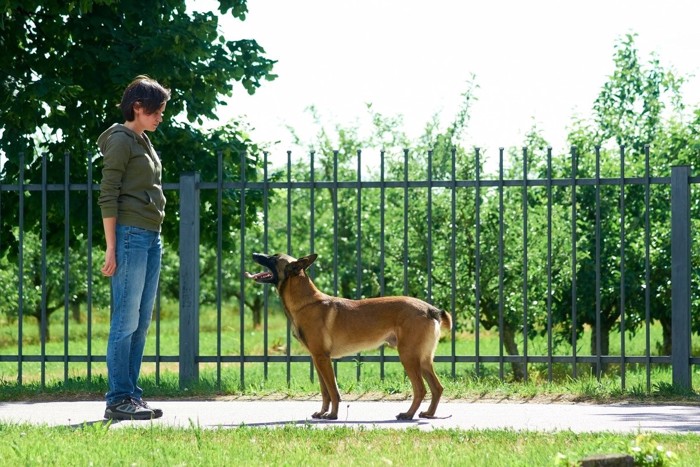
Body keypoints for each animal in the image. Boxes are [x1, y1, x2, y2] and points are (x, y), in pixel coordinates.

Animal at [247, 254, 454, 422]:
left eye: (273, 258)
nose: (254, 254)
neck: (305, 302)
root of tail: (430, 309)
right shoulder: (317, 359)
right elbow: (325, 391)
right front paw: (322, 413)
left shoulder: (323, 359)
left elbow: (333, 391)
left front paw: (332, 415)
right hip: (423, 360)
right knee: (437, 387)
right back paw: (429, 413)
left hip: (408, 357)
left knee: (421, 389)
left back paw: (408, 414)